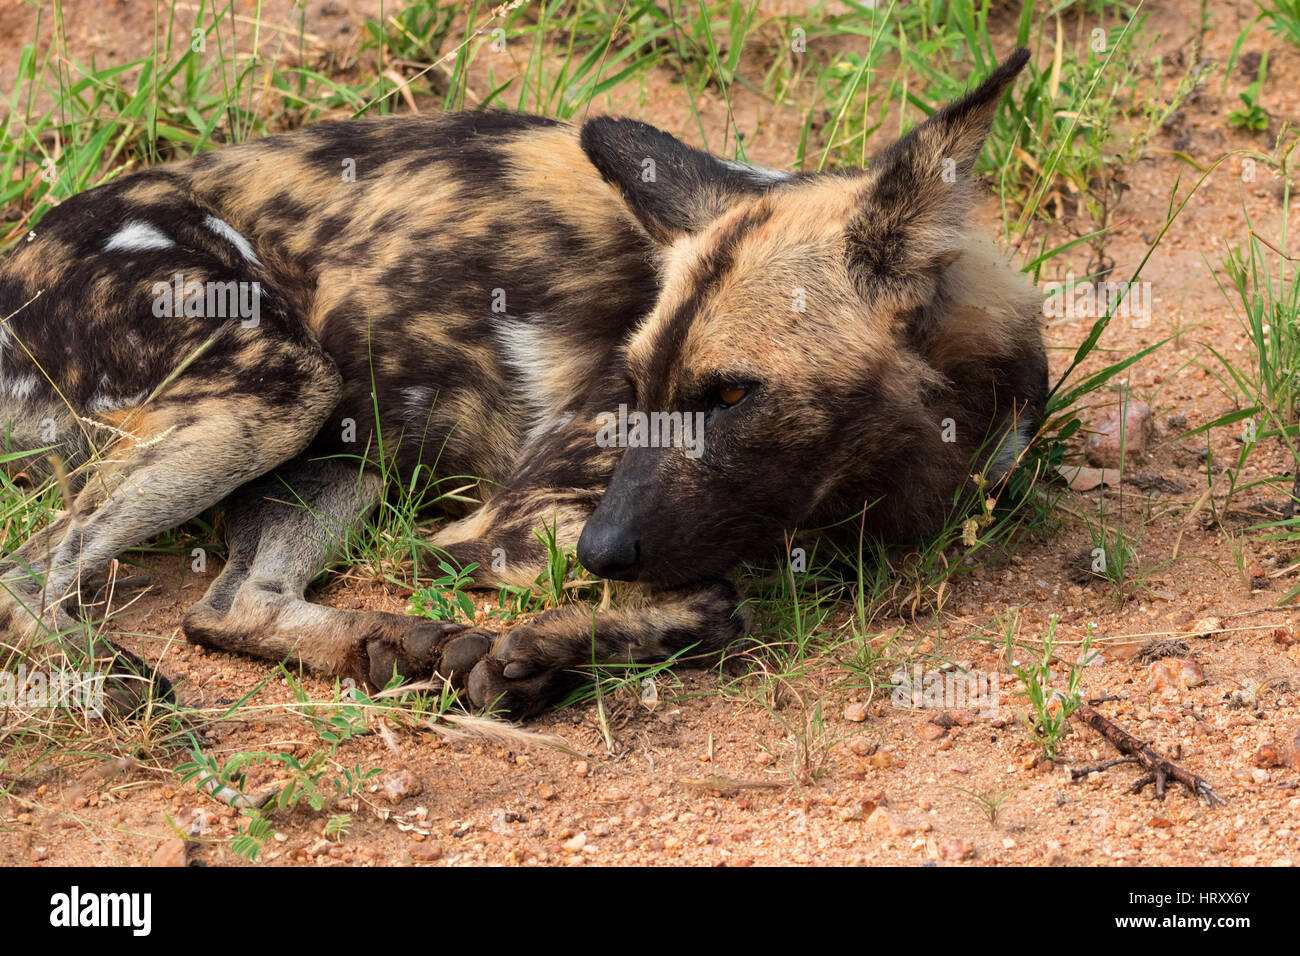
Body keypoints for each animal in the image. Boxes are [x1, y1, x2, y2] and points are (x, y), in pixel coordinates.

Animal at [0, 44, 1040, 717]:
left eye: (732, 396)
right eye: (640, 384)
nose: (604, 552)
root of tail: (18, 261)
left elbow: (721, 595)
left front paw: (536, 656)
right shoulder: (507, 526)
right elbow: (723, 605)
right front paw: (543, 656)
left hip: (338, 446)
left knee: (225, 605)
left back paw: (389, 643)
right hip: (272, 394)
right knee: (29, 572)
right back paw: (100, 681)